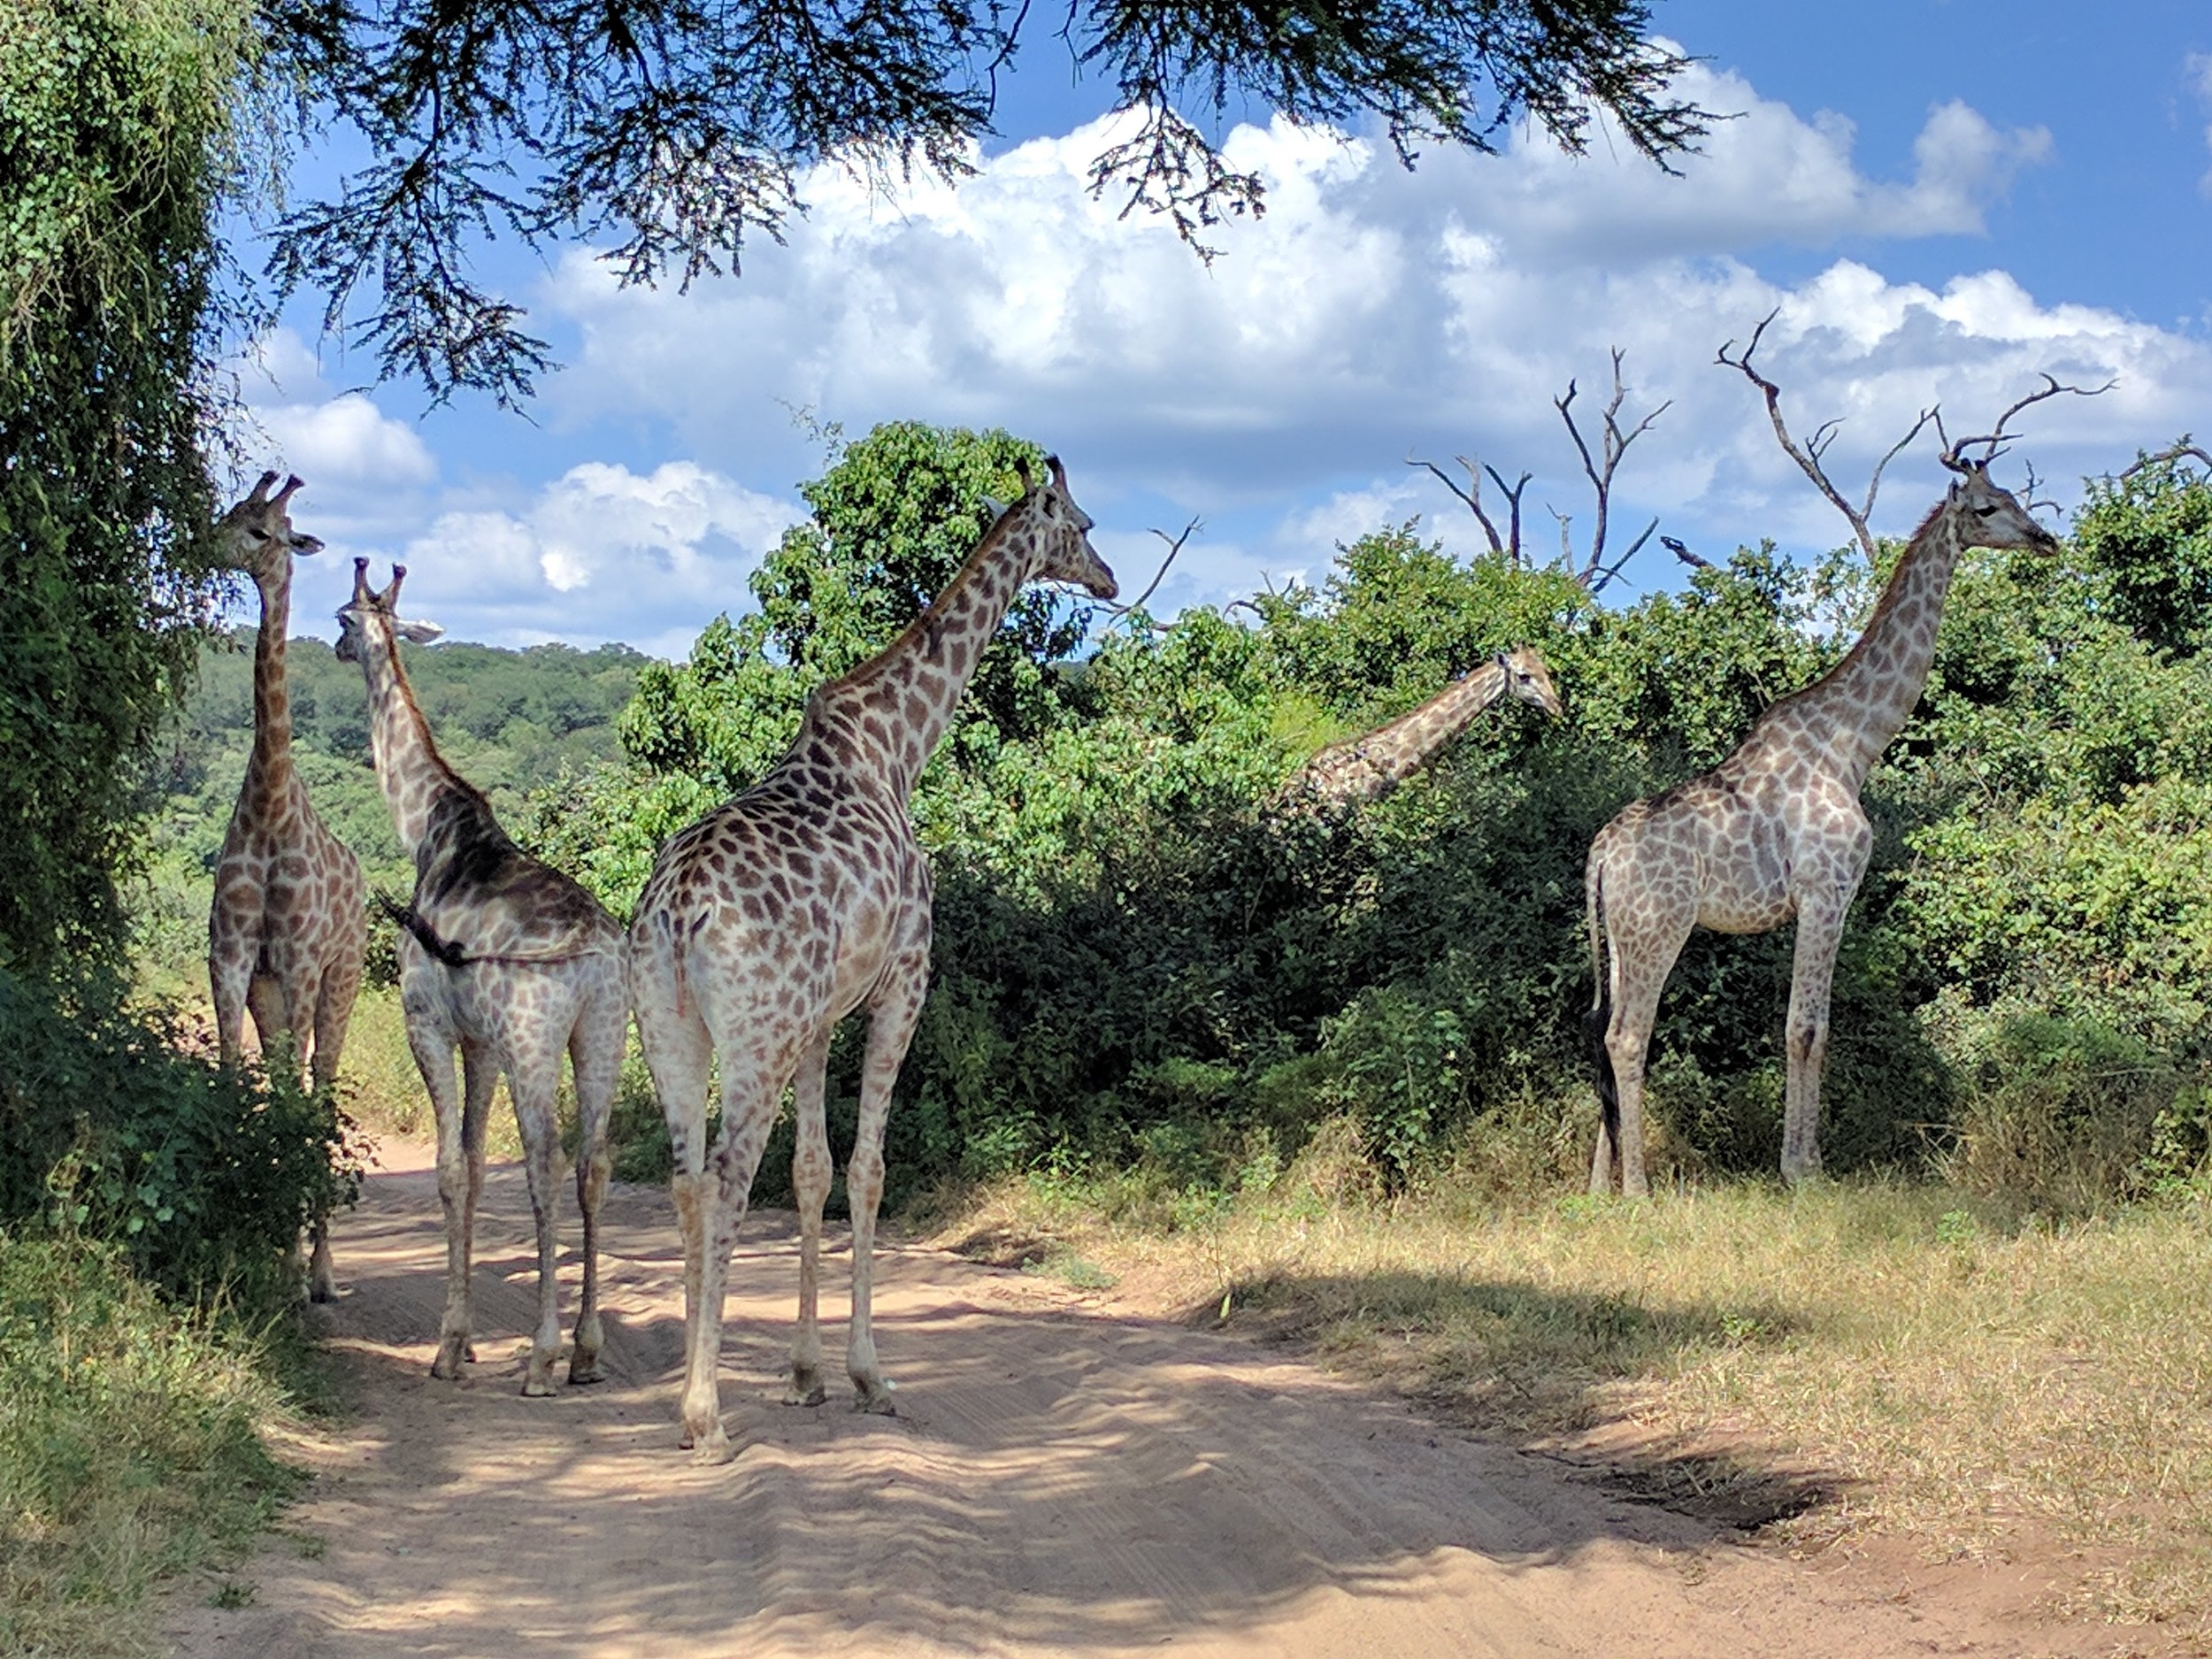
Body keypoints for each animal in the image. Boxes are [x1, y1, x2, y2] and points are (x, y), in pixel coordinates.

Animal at [334, 560, 627, 1395]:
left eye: (341, 618)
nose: (336, 649)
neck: (427, 833)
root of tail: (596, 949)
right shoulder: (482, 1042)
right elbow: (467, 1159)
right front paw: (463, 1342)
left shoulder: (428, 1023)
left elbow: (448, 1169)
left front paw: (448, 1346)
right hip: (602, 1033)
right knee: (592, 1163)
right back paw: (586, 1350)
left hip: (537, 1039)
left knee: (545, 1162)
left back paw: (541, 1355)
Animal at [629, 455, 1117, 1460]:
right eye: (1084, 523)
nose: (1110, 580)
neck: (898, 748)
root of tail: (681, 908)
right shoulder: (904, 983)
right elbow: (868, 1170)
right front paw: (868, 1376)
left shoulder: (820, 1020)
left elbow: (813, 1172)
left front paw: (806, 1374)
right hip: (755, 1032)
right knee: (728, 1178)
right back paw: (705, 1414)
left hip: (669, 1023)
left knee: (688, 1179)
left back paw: (694, 1394)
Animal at [1583, 460, 2057, 1196]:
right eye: (1985, 509)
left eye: (2014, 498)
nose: (2045, 539)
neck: (1852, 744)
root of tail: (1600, 854)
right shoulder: (1826, 891)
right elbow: (1805, 1028)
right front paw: (1802, 1169)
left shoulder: (1829, 898)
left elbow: (1817, 1027)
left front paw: (1809, 1160)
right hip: (1657, 927)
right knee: (1628, 1036)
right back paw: (1638, 1187)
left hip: (1617, 936)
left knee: (1606, 1031)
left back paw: (1598, 1185)